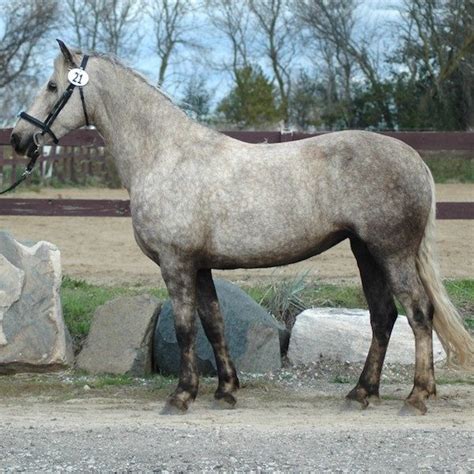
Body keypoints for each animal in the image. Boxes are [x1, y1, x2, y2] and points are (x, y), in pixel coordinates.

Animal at [9, 43, 472, 414]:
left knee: (417, 313)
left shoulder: (176, 264)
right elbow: (213, 323)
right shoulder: (199, 266)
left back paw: (415, 397)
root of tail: (414, 159)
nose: (18, 138)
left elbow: (185, 327)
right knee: (383, 316)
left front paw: (181, 396)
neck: (164, 154)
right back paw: (362, 393)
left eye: (52, 86)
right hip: (366, 252)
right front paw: (225, 390)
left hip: (391, 252)